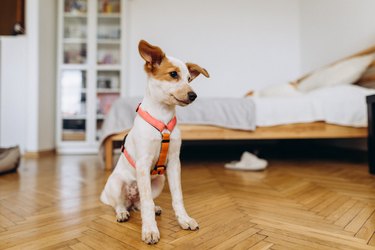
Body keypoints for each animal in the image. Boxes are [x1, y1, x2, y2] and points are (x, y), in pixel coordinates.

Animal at [100, 39, 210, 244]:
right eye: (173, 74)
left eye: (189, 79)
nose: (193, 95)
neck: (163, 118)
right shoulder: (143, 164)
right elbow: (147, 202)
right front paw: (150, 230)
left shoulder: (174, 163)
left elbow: (177, 196)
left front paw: (184, 219)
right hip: (116, 184)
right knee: (121, 204)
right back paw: (122, 213)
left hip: (159, 180)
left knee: (138, 204)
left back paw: (152, 208)